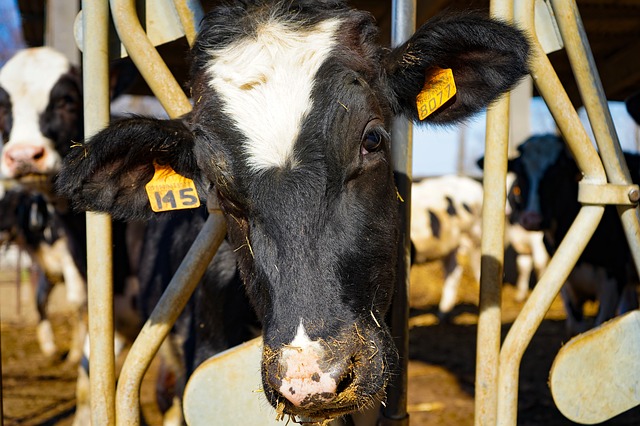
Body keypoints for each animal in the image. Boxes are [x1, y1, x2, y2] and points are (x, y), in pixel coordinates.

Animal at [508, 134, 636, 336]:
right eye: (521, 173)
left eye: (557, 174)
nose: (532, 220)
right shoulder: (566, 285)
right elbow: (576, 329)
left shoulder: (613, 280)